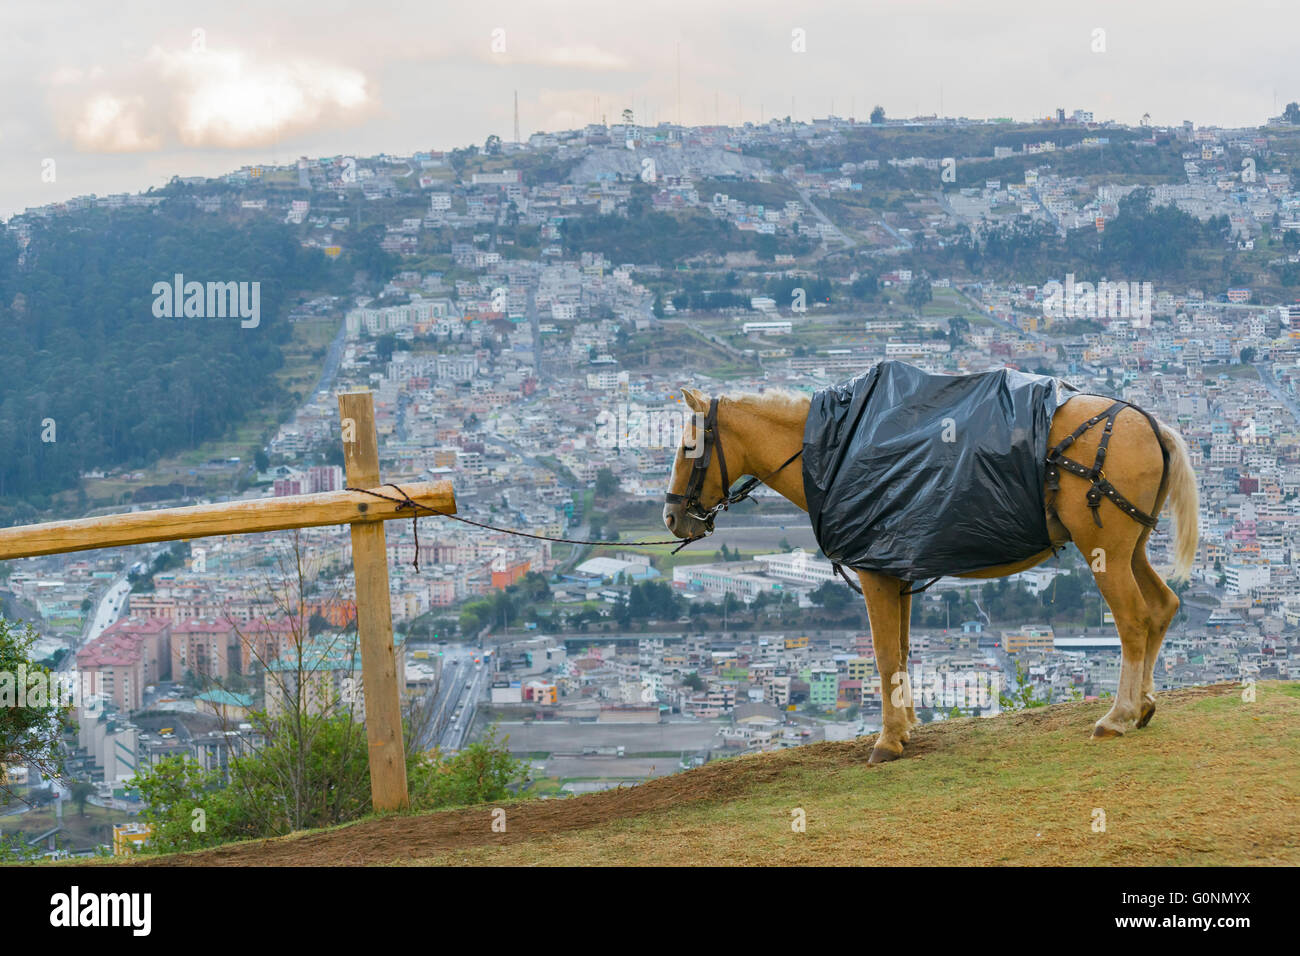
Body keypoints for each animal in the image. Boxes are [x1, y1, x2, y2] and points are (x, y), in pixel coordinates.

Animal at [665, 385, 1201, 764]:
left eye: (690, 446)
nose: (671, 516)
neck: (831, 452)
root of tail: (1151, 423)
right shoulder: (895, 571)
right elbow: (901, 651)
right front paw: (906, 728)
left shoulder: (875, 572)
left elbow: (884, 655)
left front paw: (887, 741)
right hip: (1131, 547)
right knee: (1162, 606)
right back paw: (1145, 704)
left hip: (1102, 548)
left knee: (1133, 620)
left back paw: (1118, 715)